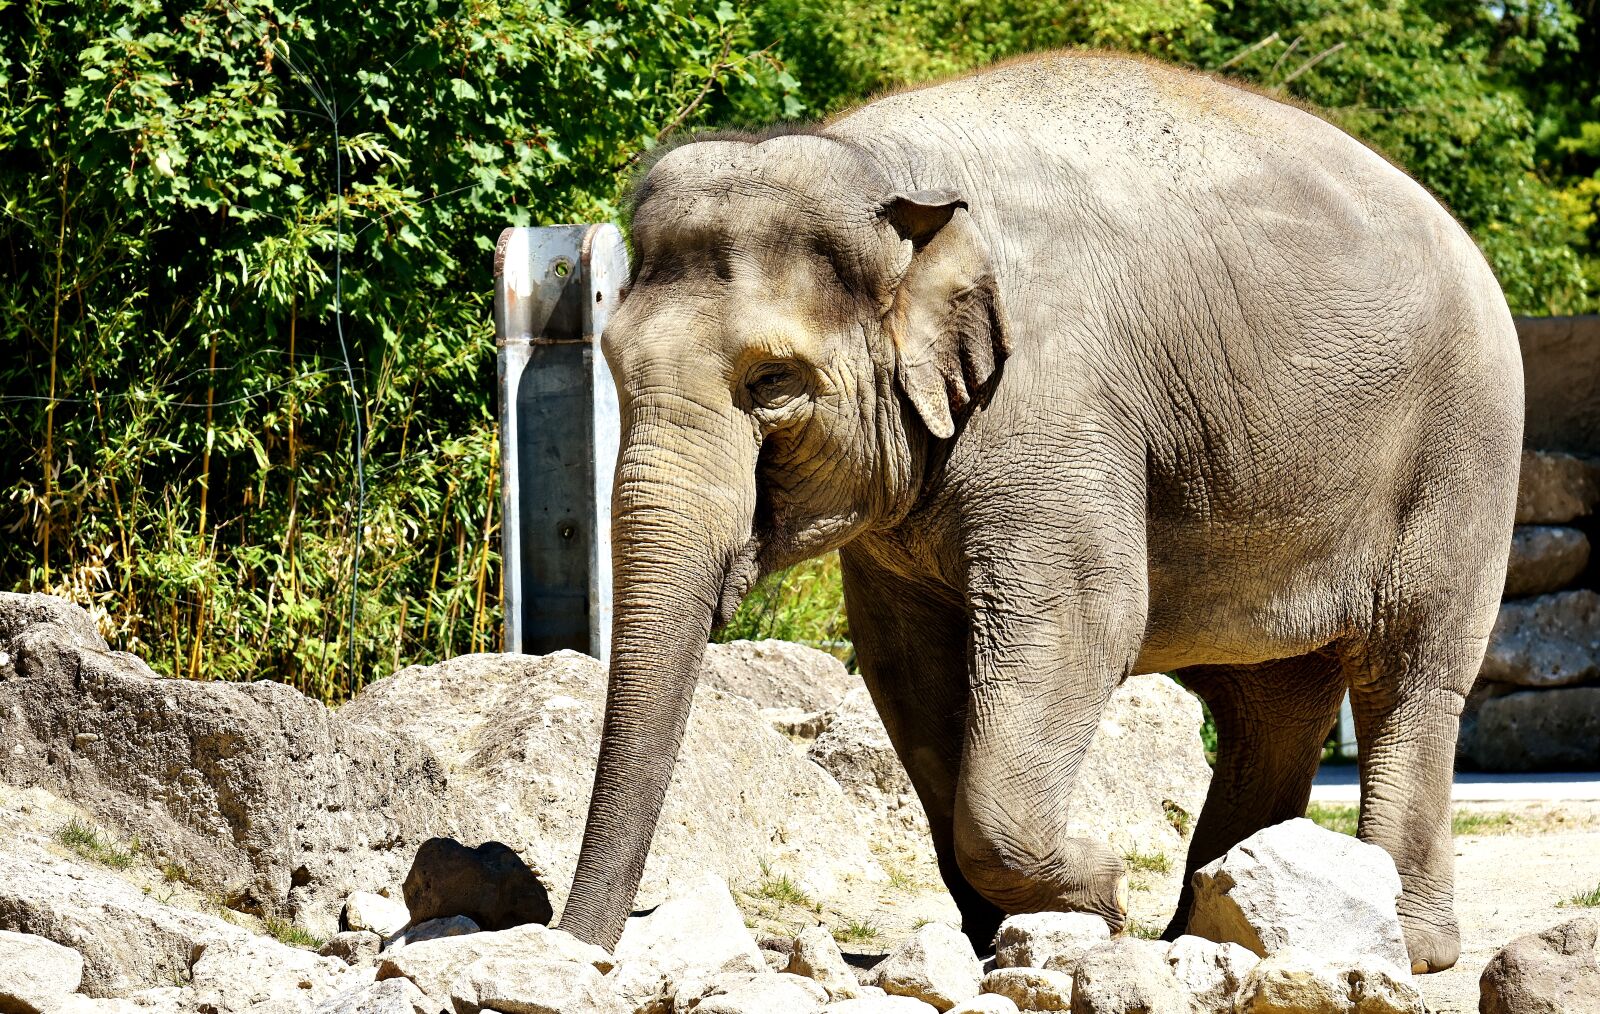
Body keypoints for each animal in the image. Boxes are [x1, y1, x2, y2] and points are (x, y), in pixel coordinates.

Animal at [556, 52, 1523, 976]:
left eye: (771, 382)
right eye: (611, 360)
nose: (582, 950)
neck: (880, 172)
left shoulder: (1056, 409)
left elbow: (1083, 621)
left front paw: (1098, 899)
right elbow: (903, 662)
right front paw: (1012, 935)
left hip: (1462, 454)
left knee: (1411, 674)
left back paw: (1402, 944)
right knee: (1269, 699)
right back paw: (1211, 930)